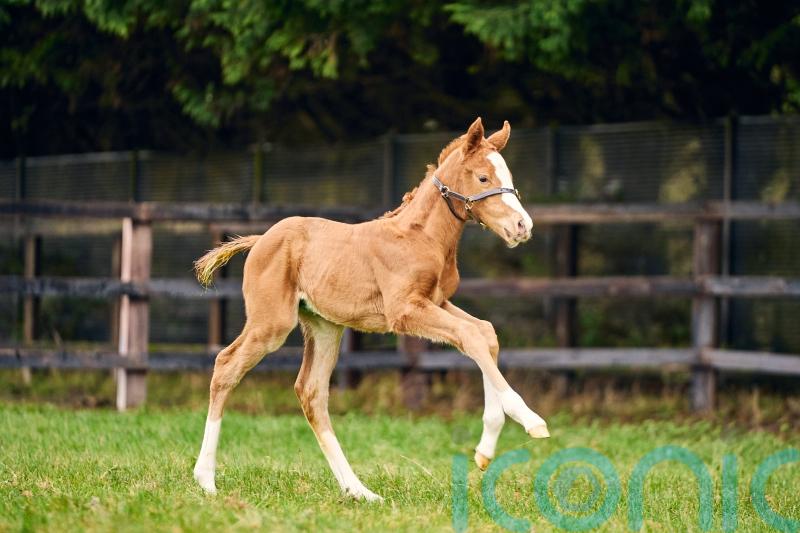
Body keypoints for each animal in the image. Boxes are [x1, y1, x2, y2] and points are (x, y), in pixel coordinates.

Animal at [192, 118, 549, 501]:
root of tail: (260, 240)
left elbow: (484, 333)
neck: (422, 237)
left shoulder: (437, 301)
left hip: (325, 327)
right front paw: (529, 420)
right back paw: (206, 480)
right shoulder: (405, 311)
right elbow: (471, 335)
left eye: (508, 175)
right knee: (226, 366)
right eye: (483, 178)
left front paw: (486, 448)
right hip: (271, 323)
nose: (522, 226)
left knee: (311, 392)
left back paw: (359, 491)